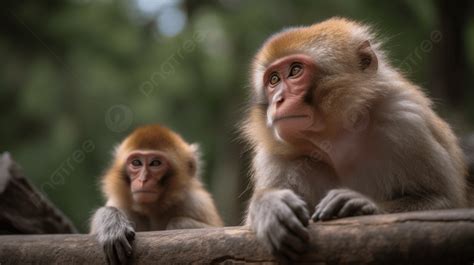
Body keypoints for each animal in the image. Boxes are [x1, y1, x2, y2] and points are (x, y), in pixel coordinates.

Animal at [91, 124, 224, 264]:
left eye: (155, 163)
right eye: (136, 162)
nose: (143, 180)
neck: (151, 210)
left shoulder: (197, 203)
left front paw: (178, 225)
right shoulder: (120, 203)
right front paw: (111, 222)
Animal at [244, 17, 466, 258]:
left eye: (295, 70)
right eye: (274, 79)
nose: (278, 100)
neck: (338, 139)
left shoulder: (406, 122)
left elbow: (444, 201)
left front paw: (363, 205)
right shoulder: (275, 157)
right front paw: (269, 205)